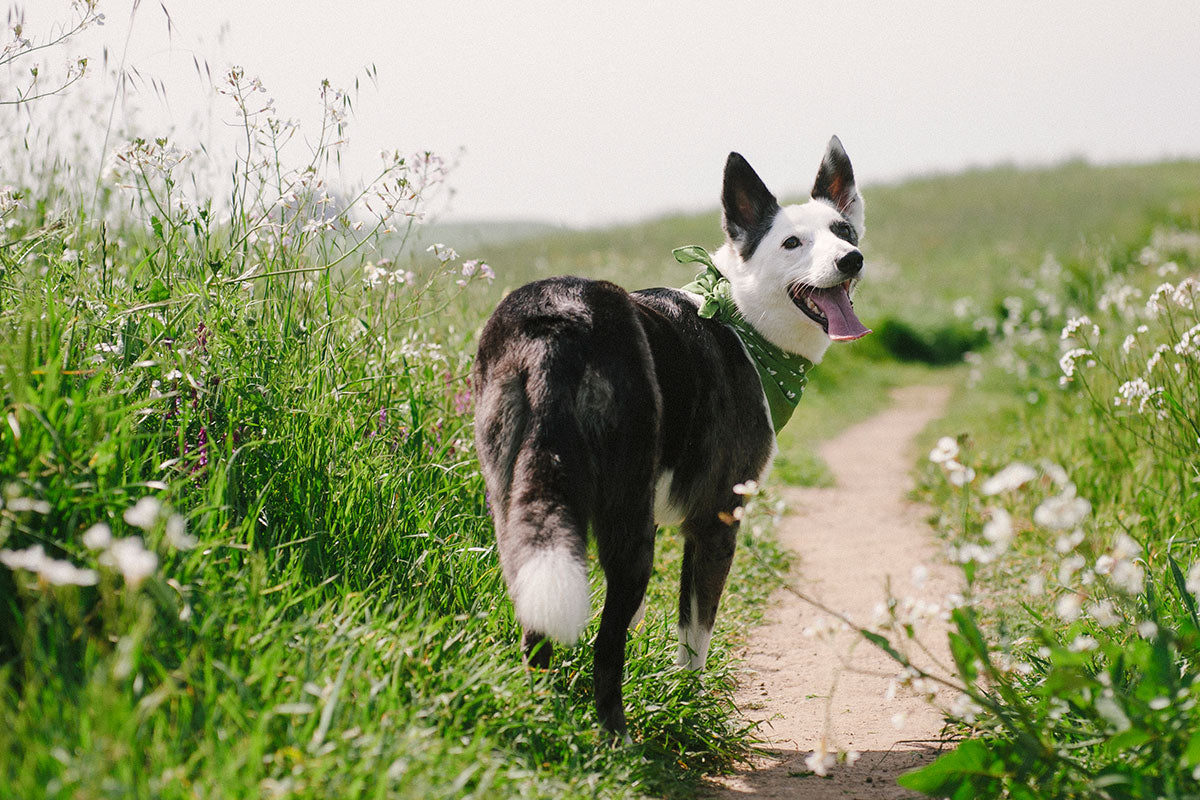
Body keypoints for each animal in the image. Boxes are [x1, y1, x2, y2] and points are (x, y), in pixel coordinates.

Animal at [470, 136, 873, 734]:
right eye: (792, 242)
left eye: (844, 231)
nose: (851, 260)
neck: (742, 318)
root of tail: (559, 321)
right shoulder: (714, 523)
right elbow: (694, 636)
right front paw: (689, 704)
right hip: (628, 519)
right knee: (608, 645)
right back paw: (617, 735)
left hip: (519, 504)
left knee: (542, 628)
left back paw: (544, 713)